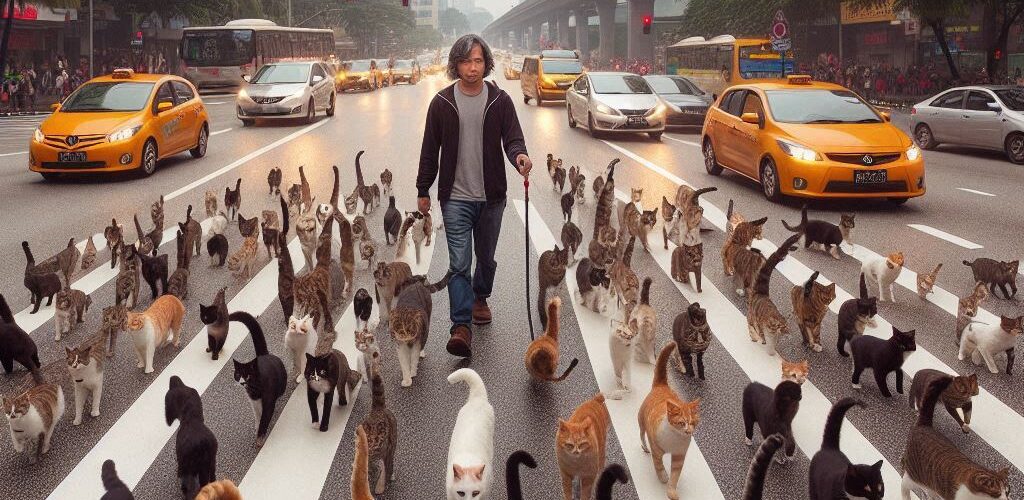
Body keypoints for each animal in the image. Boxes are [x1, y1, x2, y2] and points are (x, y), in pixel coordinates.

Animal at [227, 311, 284, 446]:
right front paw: (257, 428)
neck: (255, 388)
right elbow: (258, 416)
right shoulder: (253, 402)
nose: (242, 382)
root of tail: (264, 355)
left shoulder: (268, 400)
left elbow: (265, 418)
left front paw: (260, 438)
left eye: (248, 375)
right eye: (238, 375)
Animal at [303, 290, 360, 432]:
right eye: (311, 371)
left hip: (341, 375)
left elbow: (327, 408)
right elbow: (312, 406)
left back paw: (343, 402)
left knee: (341, 388)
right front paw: (315, 423)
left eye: (322, 371)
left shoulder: (330, 389)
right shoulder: (310, 390)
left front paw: (323, 426)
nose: (316, 377)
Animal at [634, 342, 700, 500]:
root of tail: (662, 385)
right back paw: (644, 447)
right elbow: (658, 466)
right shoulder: (657, 451)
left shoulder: (679, 457)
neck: (675, 438)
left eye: (693, 423)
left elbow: (675, 477)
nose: (688, 431)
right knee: (641, 434)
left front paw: (671, 492)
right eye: (682, 423)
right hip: (641, 421)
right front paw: (663, 477)